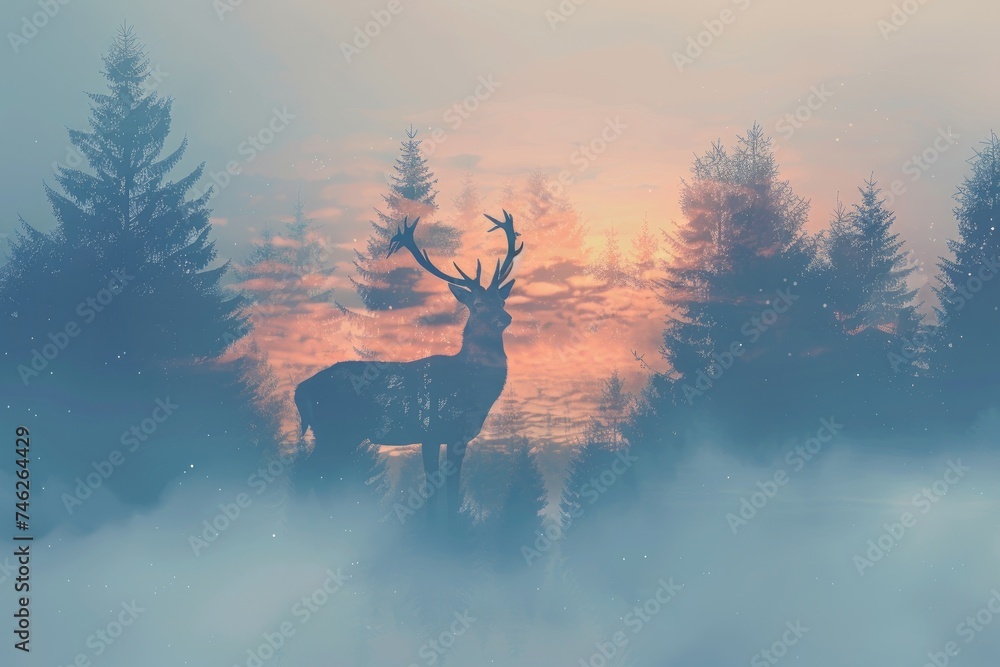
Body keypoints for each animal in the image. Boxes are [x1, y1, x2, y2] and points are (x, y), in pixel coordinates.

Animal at [293, 210, 523, 527]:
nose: (505, 317)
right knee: (306, 473)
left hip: (339, 434)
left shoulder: (458, 438)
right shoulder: (431, 431)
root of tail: (299, 390)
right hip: (333, 429)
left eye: (501, 299)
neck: (470, 386)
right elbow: (431, 490)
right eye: (477, 303)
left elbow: (452, 492)